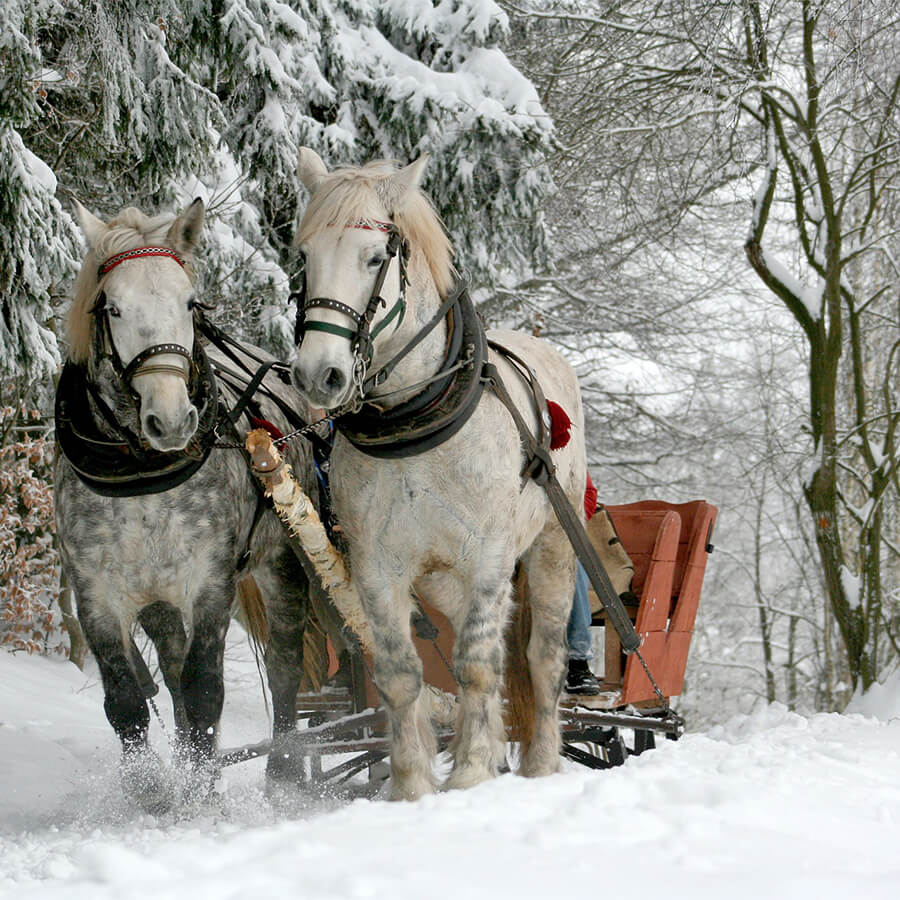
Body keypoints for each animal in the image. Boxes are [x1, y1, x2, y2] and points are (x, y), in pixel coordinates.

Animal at [288, 149, 584, 800]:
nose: (319, 375)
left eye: (375, 258)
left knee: (540, 656)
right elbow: (402, 673)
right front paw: (412, 785)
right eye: (305, 257)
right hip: (444, 577)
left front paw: (470, 772)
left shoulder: (491, 556)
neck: (415, 423)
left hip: (551, 546)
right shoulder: (376, 566)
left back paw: (541, 762)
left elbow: (476, 663)